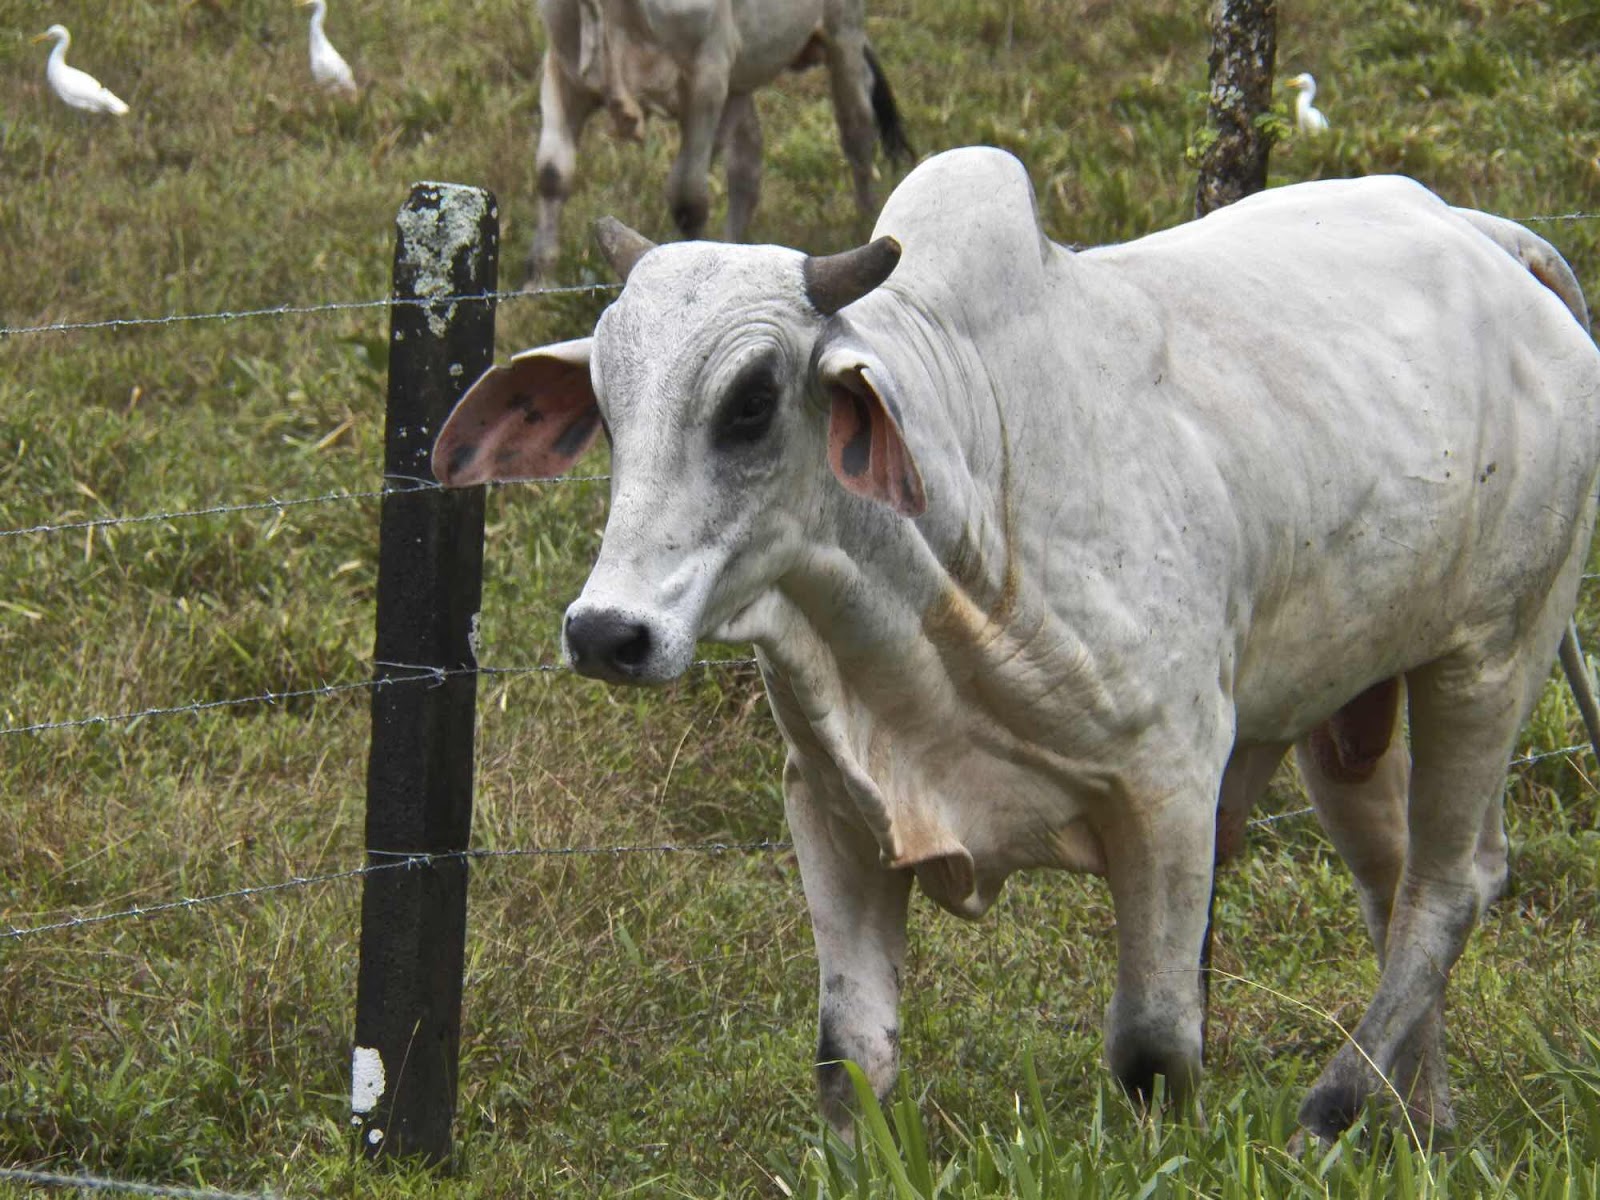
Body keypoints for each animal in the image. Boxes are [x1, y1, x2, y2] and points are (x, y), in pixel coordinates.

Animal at [432, 145, 1600, 1139]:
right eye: (605, 405)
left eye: (752, 401)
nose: (607, 632)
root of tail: (1482, 233)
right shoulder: (834, 811)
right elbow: (849, 1060)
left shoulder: (1171, 786)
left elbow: (1153, 1052)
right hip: (1353, 703)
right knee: (1392, 883)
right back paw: (1420, 1126)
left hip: (1491, 655)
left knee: (1451, 886)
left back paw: (1333, 1110)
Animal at [518, 0, 908, 283]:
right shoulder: (563, 71)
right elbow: (552, 175)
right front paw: (538, 284)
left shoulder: (706, 75)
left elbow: (687, 200)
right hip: (742, 78)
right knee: (746, 163)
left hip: (843, 32)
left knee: (857, 131)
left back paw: (866, 220)